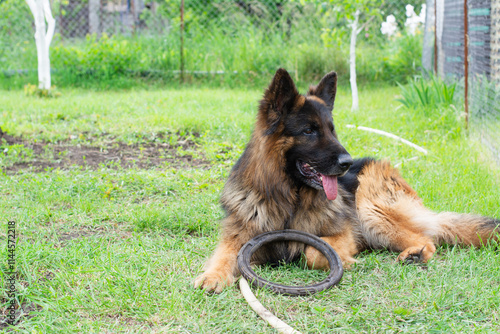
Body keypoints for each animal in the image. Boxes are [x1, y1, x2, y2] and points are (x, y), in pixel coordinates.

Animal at [194, 68, 500, 292]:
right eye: (309, 131)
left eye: (332, 130)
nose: (347, 163)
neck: (288, 199)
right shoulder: (238, 236)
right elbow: (223, 255)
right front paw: (212, 276)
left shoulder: (343, 234)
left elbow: (313, 252)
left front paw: (345, 261)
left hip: (369, 210)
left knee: (426, 237)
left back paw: (416, 253)